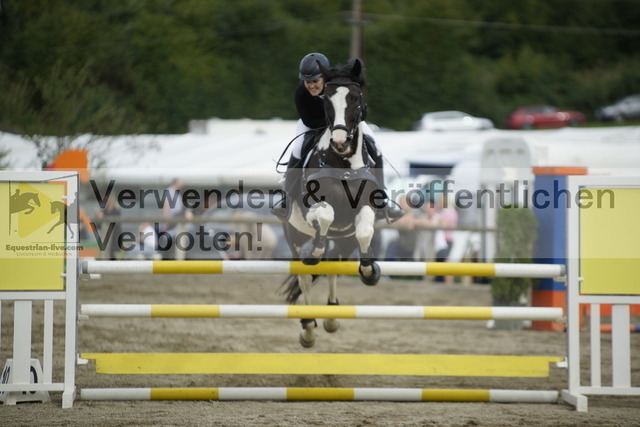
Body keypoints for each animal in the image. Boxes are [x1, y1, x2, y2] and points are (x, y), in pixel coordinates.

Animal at [279, 58, 383, 347]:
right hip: (294, 236)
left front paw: (370, 273)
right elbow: (324, 217)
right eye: (326, 100)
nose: (339, 141)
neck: (342, 162)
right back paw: (308, 327)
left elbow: (365, 231)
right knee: (305, 276)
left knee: (334, 266)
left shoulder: (365, 206)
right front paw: (314, 252)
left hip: (343, 241)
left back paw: (333, 315)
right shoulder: (314, 206)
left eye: (356, 97)